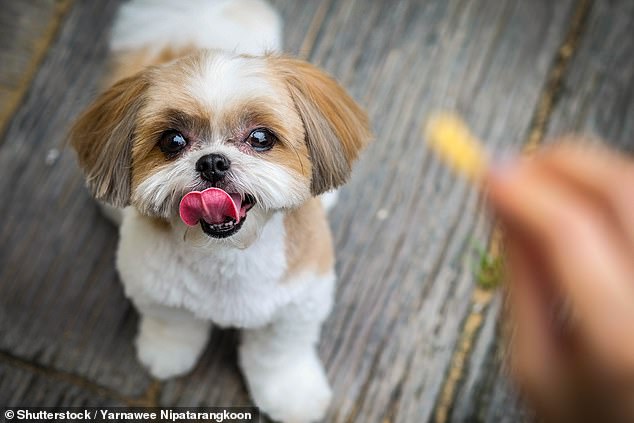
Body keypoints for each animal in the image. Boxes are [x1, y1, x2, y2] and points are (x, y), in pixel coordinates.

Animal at [70, 0, 370, 423]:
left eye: (260, 138)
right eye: (173, 141)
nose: (212, 162)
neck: (228, 257)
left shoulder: (298, 304)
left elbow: (279, 354)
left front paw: (292, 395)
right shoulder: (156, 290)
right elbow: (173, 324)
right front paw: (166, 354)